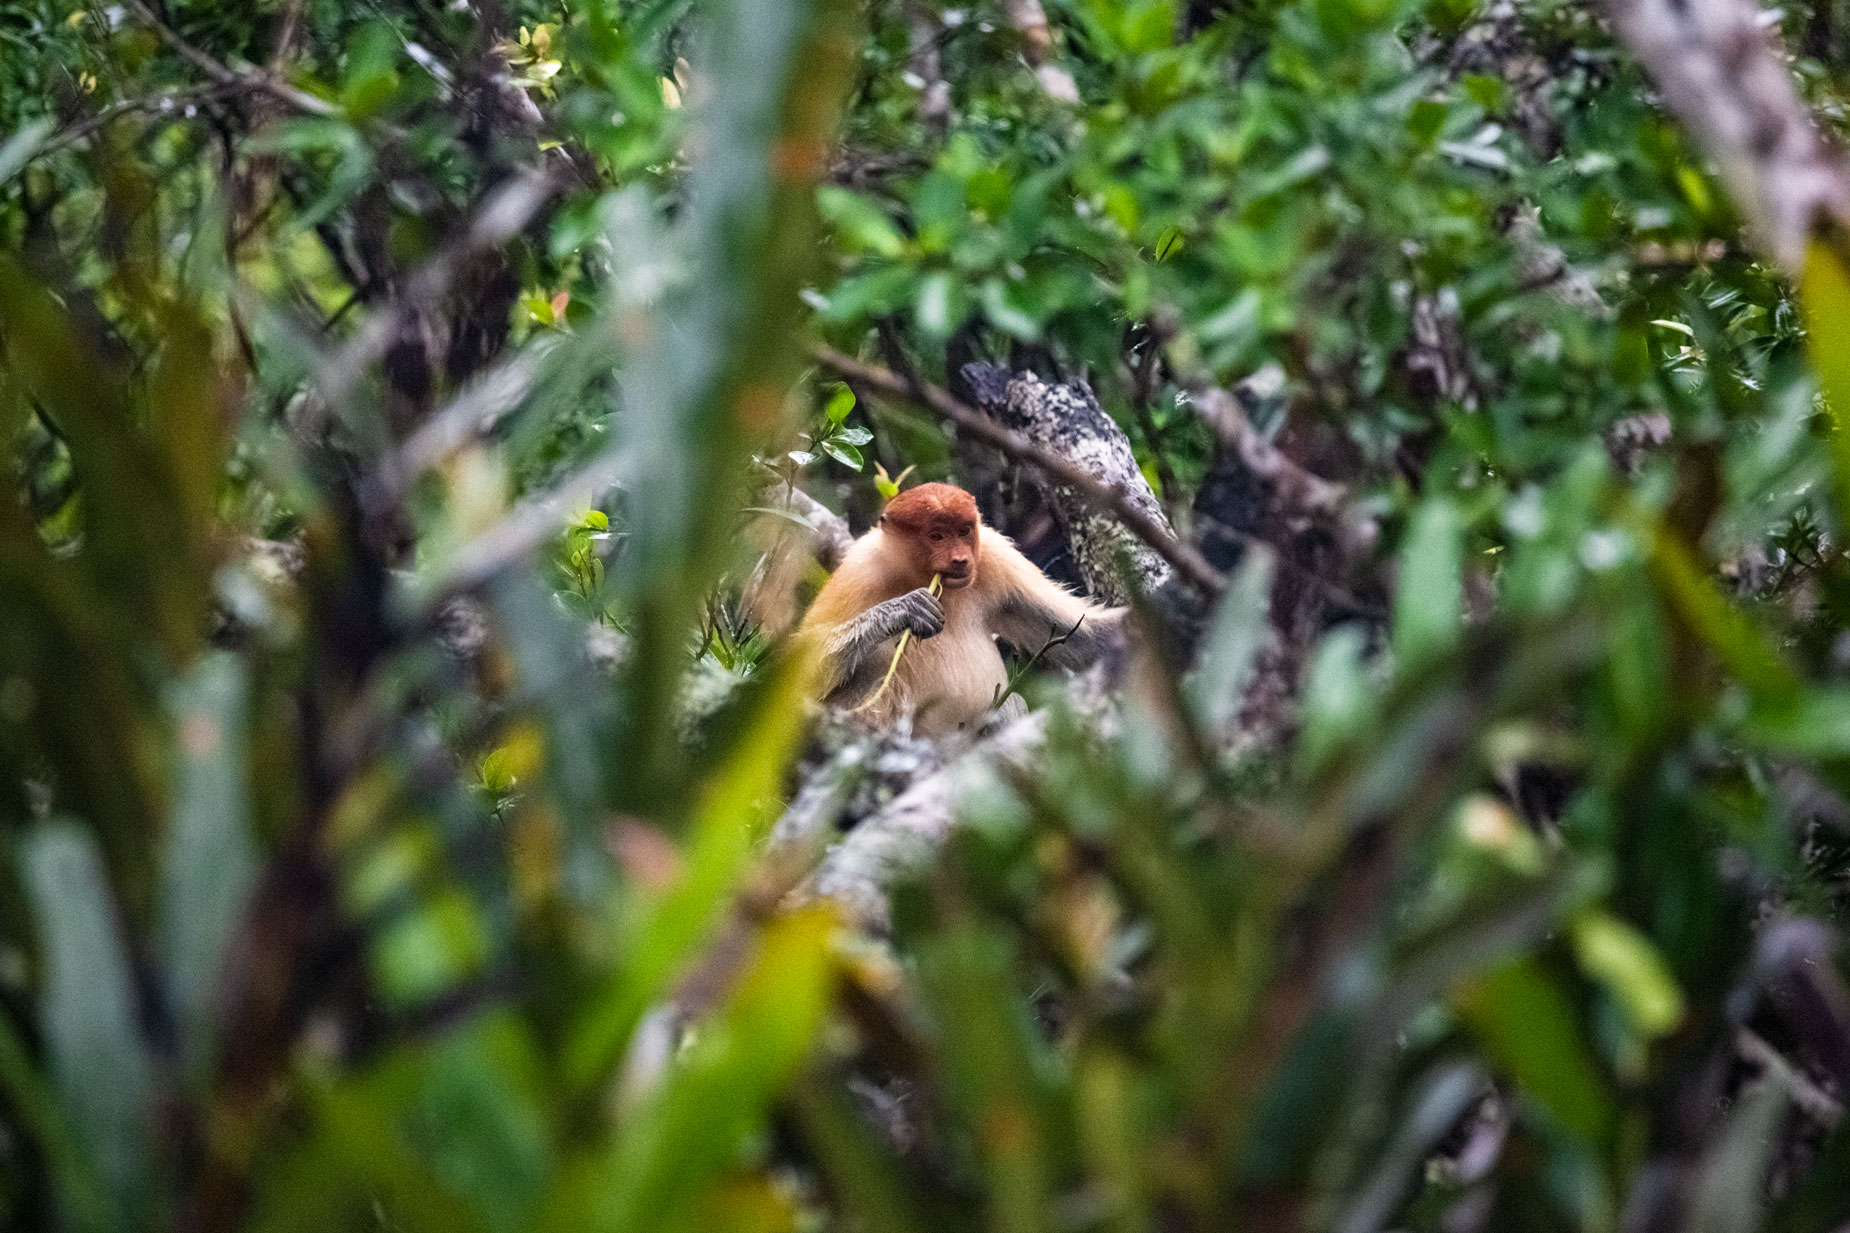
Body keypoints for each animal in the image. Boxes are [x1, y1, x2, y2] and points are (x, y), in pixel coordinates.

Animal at [796, 482, 1125, 736]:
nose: (960, 560)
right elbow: (798, 668)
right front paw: (906, 608)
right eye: (936, 536)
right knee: (885, 689)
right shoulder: (860, 570)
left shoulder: (994, 556)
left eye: (964, 531)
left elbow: (1084, 637)